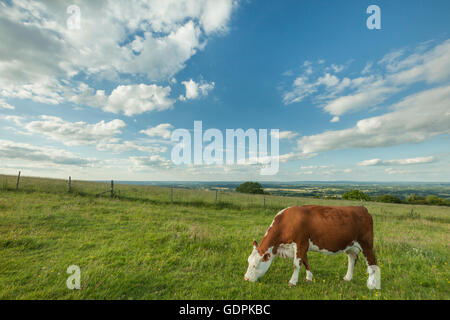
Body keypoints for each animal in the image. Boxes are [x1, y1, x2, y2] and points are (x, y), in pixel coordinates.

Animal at [244, 205, 382, 290]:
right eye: (248, 262)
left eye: (255, 265)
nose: (246, 279)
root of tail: (362, 208)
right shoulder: (302, 246)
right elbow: (305, 261)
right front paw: (309, 278)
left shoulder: (300, 243)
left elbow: (296, 264)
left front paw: (292, 282)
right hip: (351, 245)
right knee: (352, 259)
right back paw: (347, 278)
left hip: (367, 243)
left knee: (372, 262)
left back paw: (373, 285)